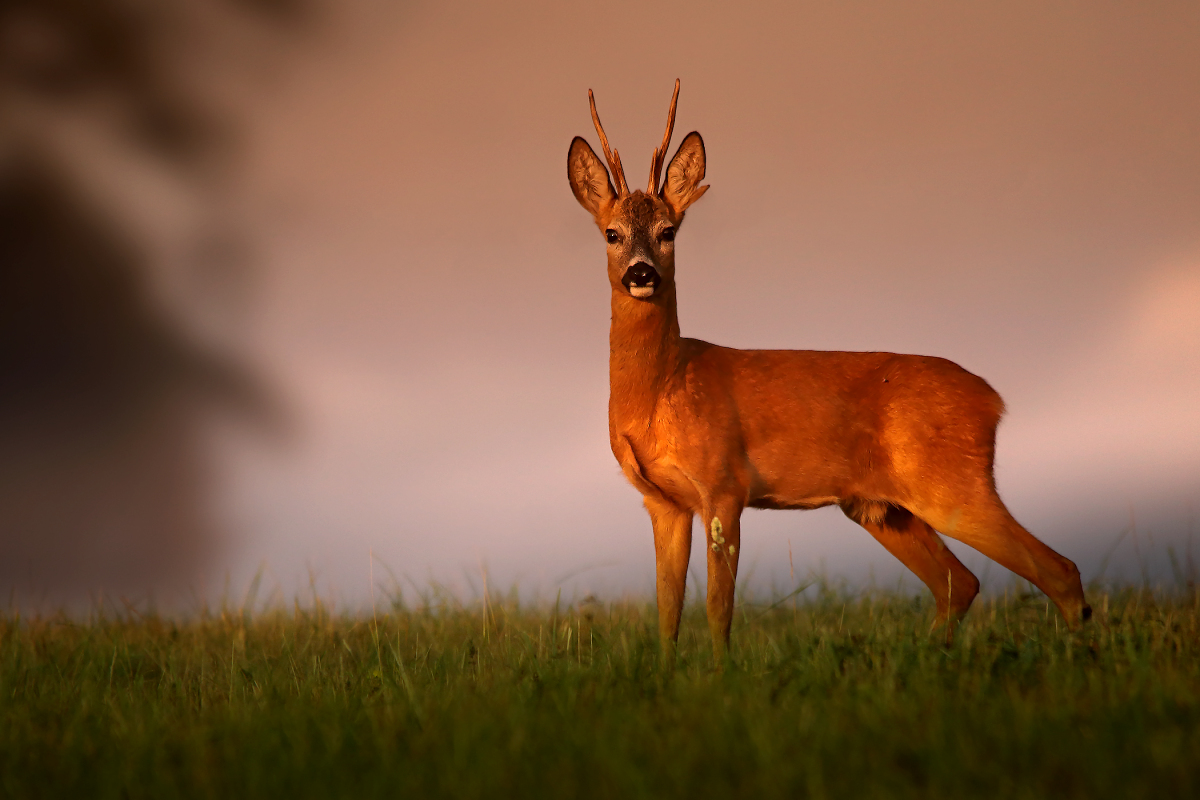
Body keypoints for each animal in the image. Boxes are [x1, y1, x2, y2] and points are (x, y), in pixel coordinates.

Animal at [566, 77, 1094, 662]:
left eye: (668, 232)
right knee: (961, 581)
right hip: (880, 508)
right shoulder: (663, 502)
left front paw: (720, 673)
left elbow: (719, 610)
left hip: (952, 486)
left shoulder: (724, 485)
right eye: (611, 233)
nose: (641, 274)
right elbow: (667, 614)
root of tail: (993, 399)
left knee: (1059, 569)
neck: (664, 388)